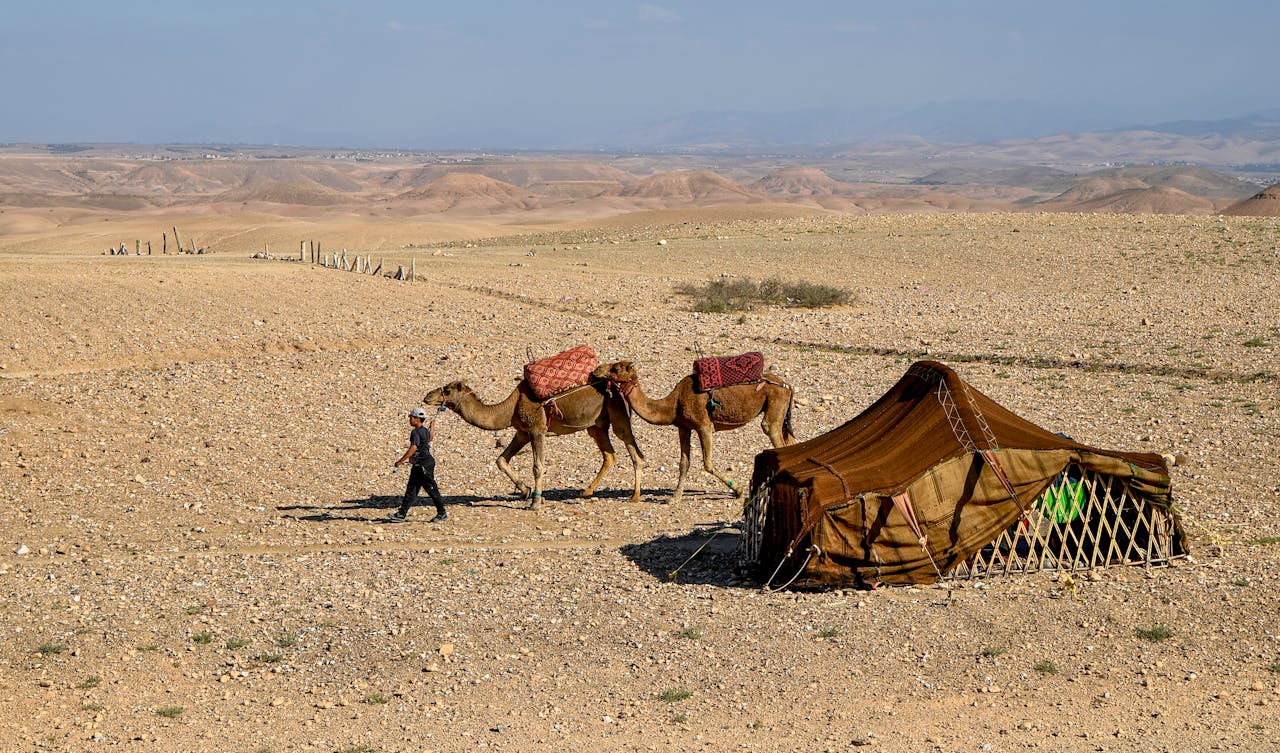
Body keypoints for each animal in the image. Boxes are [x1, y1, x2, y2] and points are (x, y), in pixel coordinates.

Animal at [423, 373, 643, 508]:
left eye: (447, 390)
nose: (427, 396)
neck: (510, 408)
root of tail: (617, 385)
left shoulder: (537, 430)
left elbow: (538, 467)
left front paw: (535, 503)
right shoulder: (522, 432)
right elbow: (501, 459)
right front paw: (525, 491)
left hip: (617, 413)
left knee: (634, 451)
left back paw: (634, 496)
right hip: (596, 425)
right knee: (609, 455)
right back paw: (586, 492)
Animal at [601, 360, 796, 504]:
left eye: (615, 368)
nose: (597, 369)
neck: (673, 403)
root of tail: (787, 385)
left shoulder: (704, 425)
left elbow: (707, 463)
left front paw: (739, 490)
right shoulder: (684, 427)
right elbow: (684, 463)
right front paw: (674, 498)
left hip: (775, 401)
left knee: (771, 429)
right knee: (790, 441)